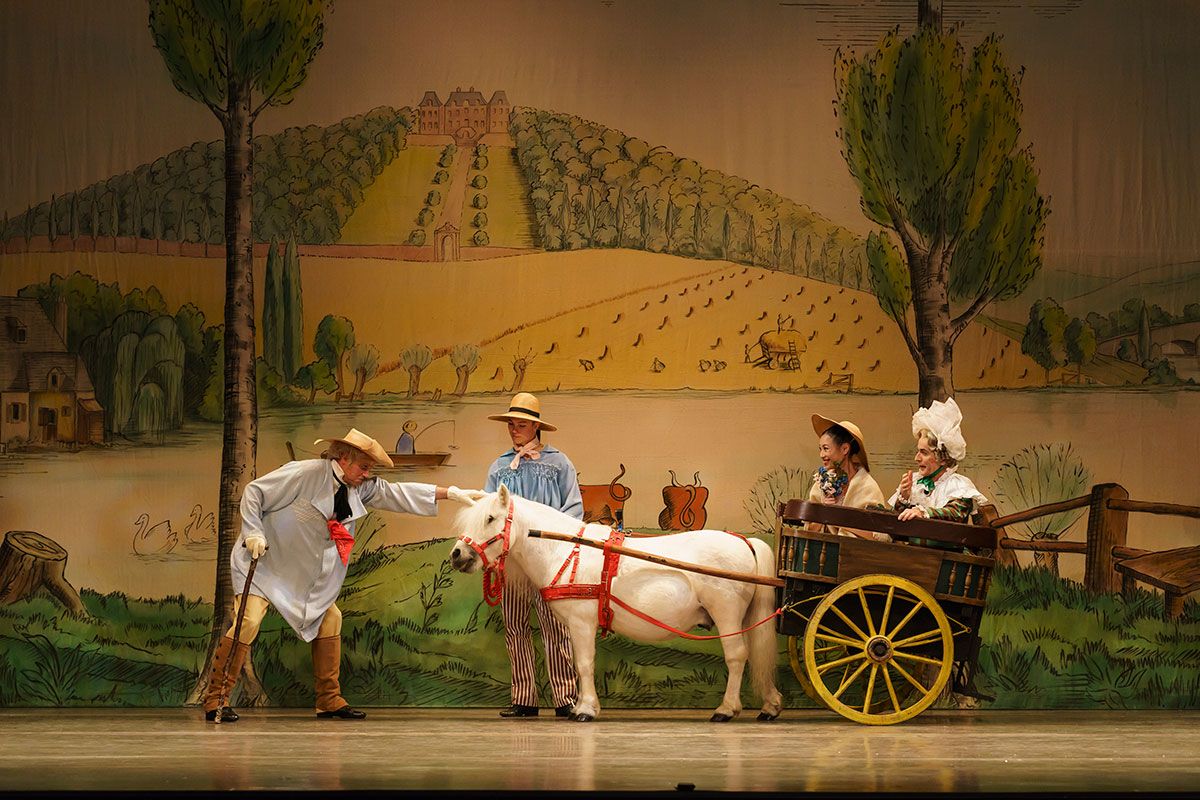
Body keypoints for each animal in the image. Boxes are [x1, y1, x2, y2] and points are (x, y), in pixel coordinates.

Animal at [446, 484, 782, 724]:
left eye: (490, 519)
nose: (458, 555)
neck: (565, 549)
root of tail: (744, 541)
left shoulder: (582, 622)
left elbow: (584, 663)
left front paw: (585, 709)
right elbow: (578, 664)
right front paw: (581, 706)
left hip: (726, 613)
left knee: (737, 656)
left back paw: (726, 709)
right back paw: (770, 705)